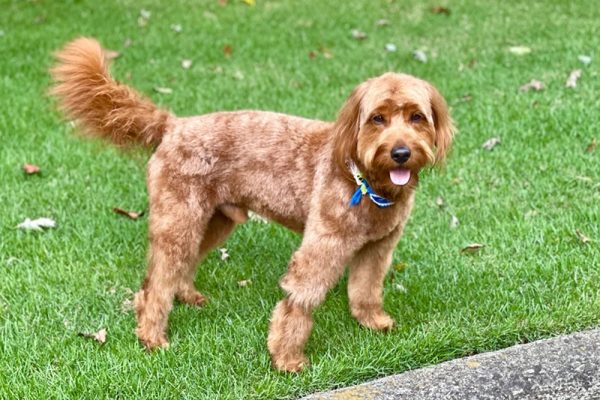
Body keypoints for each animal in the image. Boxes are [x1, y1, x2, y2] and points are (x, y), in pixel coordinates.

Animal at [51, 36, 454, 372]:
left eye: (417, 117)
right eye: (377, 118)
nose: (400, 153)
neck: (367, 179)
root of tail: (173, 125)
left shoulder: (378, 247)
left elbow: (366, 289)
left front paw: (372, 322)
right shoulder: (323, 246)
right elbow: (299, 301)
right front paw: (287, 359)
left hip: (213, 220)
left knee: (178, 266)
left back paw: (187, 296)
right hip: (179, 218)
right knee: (157, 282)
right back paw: (152, 336)